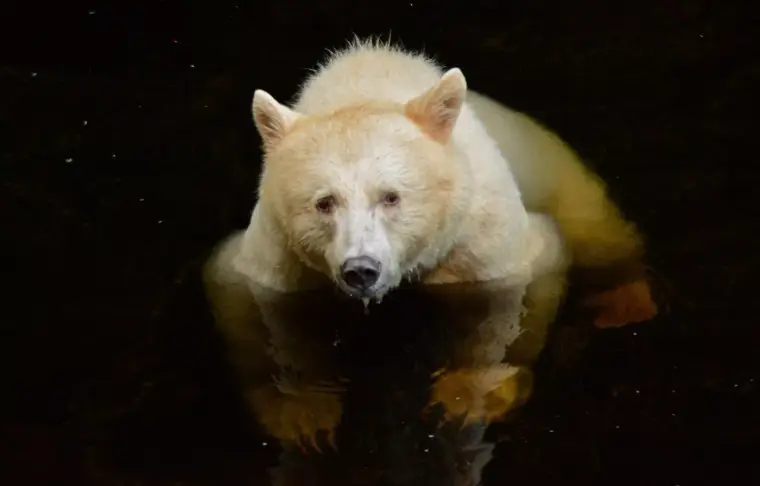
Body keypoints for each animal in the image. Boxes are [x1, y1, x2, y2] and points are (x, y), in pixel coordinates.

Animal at [203, 38, 658, 447]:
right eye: (324, 202)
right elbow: (251, 303)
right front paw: (302, 413)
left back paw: (626, 300)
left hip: (547, 160)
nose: (361, 270)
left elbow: (518, 286)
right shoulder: (278, 252)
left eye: (390, 196)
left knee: (591, 222)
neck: (364, 84)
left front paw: (466, 397)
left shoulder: (479, 228)